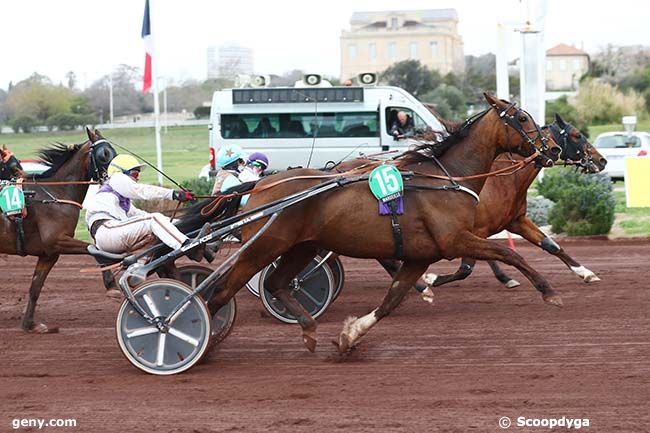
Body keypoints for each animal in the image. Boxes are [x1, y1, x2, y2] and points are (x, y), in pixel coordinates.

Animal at [0, 127, 115, 330]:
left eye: (113, 152)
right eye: (104, 154)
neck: (55, 195)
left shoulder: (49, 253)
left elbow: (35, 287)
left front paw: (30, 324)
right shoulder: (57, 240)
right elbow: (95, 249)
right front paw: (111, 284)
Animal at [208, 93, 560, 352]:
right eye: (523, 118)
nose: (553, 149)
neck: (448, 179)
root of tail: (258, 187)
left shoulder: (421, 255)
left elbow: (390, 300)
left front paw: (349, 336)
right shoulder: (456, 239)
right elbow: (509, 253)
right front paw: (549, 291)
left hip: (302, 248)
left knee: (276, 284)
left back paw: (308, 330)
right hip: (264, 248)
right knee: (225, 289)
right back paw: (202, 334)